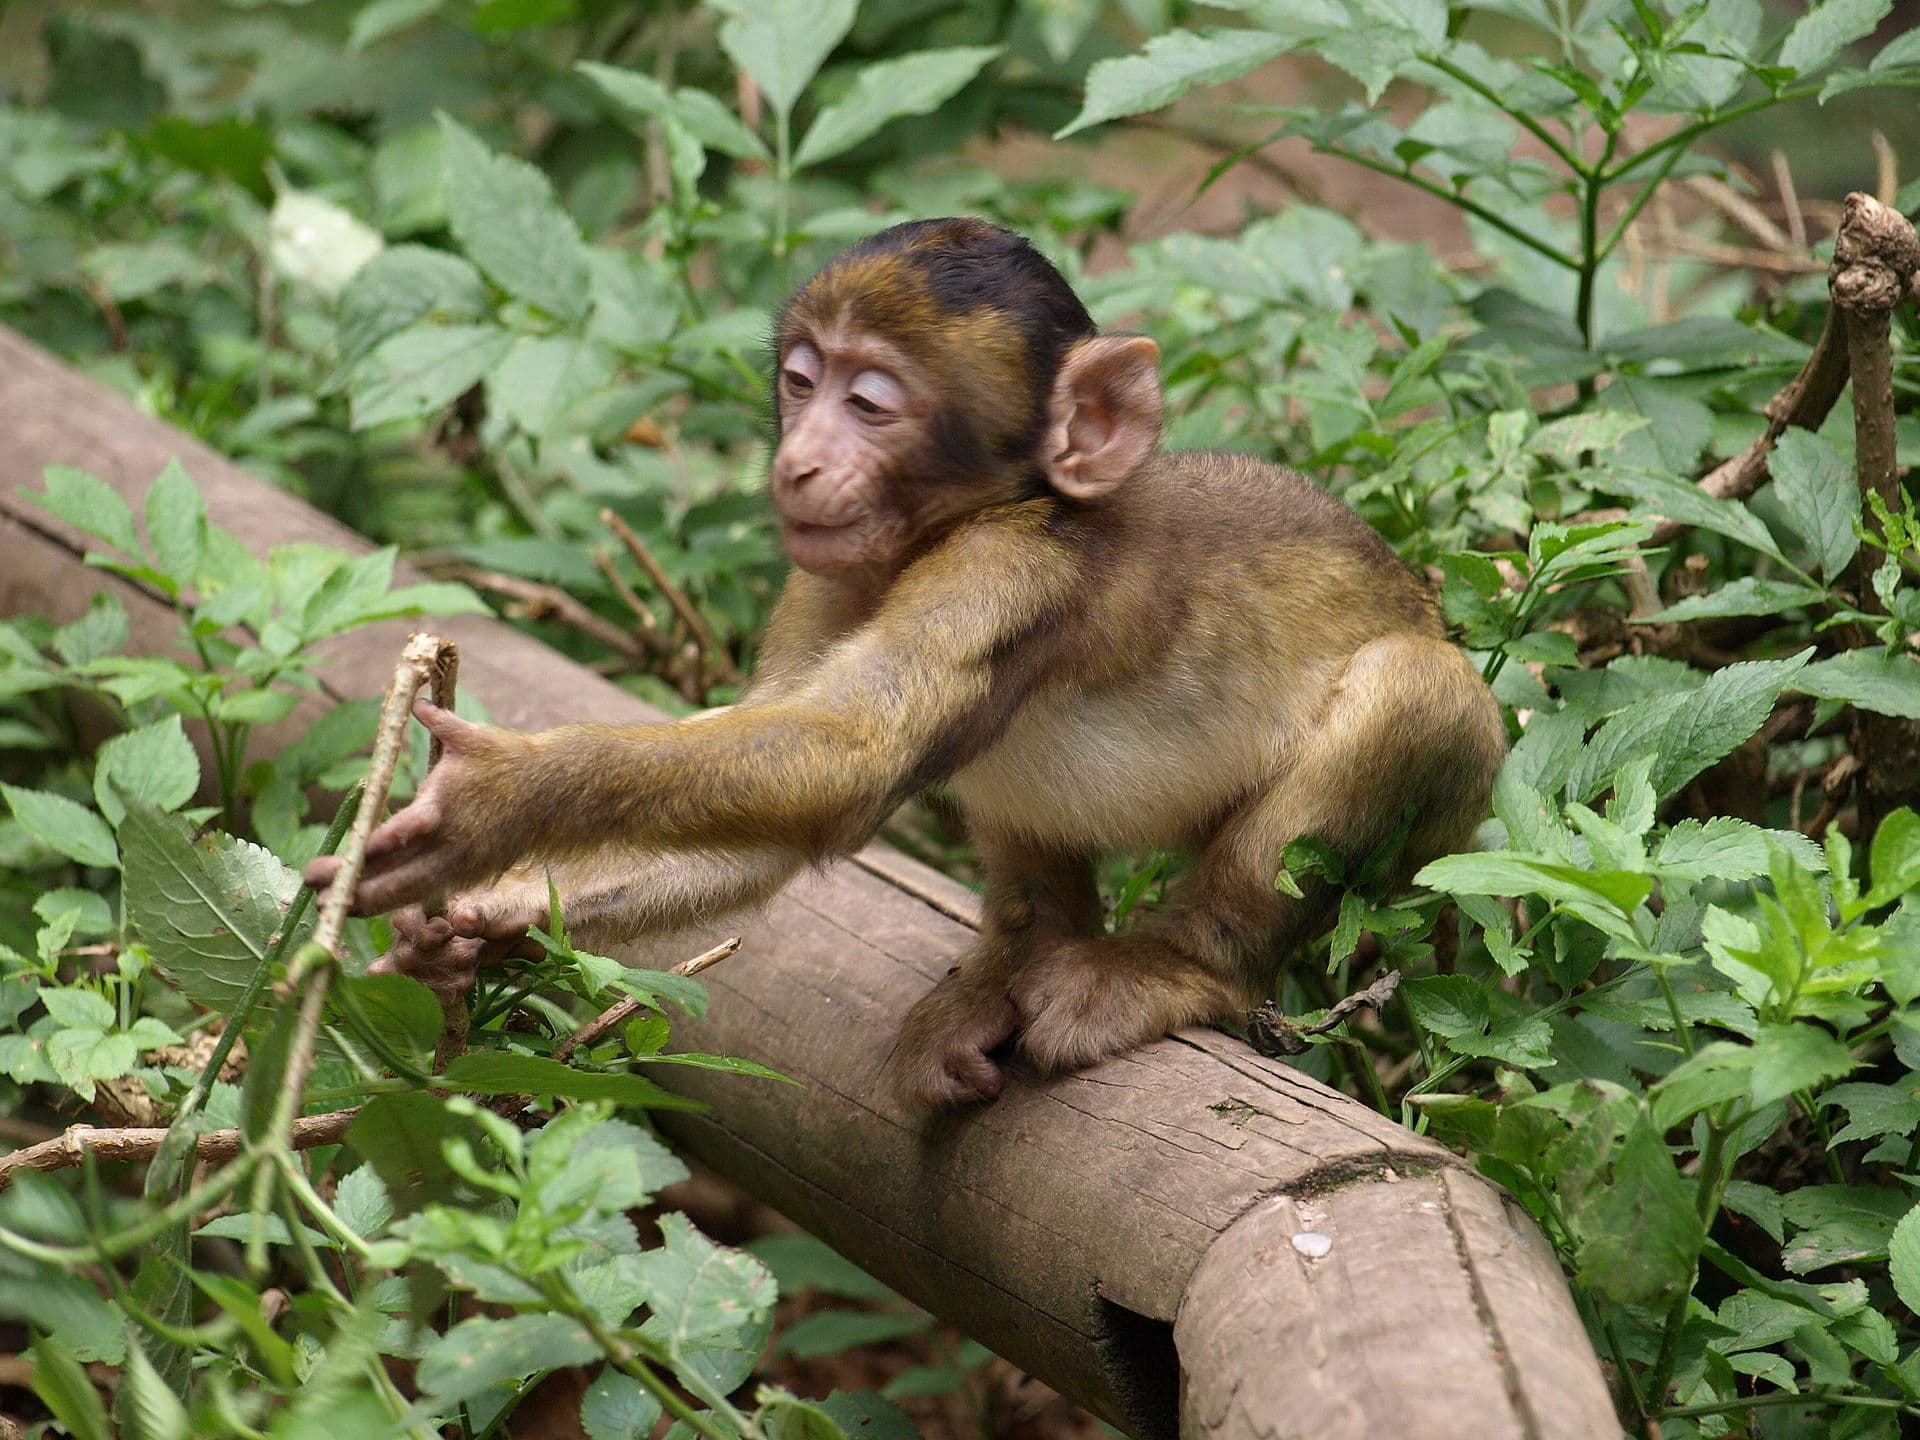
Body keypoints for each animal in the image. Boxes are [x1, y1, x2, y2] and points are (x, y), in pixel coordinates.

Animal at [307, 216, 1508, 1109]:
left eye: (869, 401)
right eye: (801, 382)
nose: (800, 460)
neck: (964, 521)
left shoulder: (1005, 569)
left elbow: (848, 755)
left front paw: (500, 799)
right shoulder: (826, 575)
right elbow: (767, 834)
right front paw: (484, 923)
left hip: (1449, 824)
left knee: (1415, 691)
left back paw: (1172, 968)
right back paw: (1014, 961)